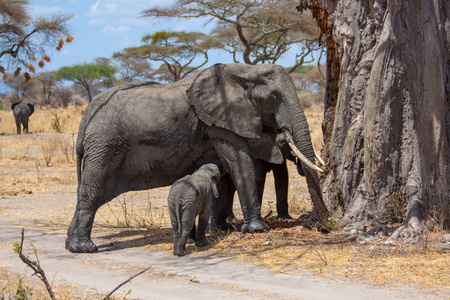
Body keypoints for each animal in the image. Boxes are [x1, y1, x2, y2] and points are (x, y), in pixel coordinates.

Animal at [65, 63, 328, 253]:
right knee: (91, 193)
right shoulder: (222, 122)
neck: (245, 70)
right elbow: (239, 163)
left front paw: (224, 229)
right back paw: (84, 248)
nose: (318, 225)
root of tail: (85, 118)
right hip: (105, 146)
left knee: (85, 195)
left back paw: (71, 245)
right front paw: (256, 230)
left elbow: (225, 173)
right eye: (273, 97)